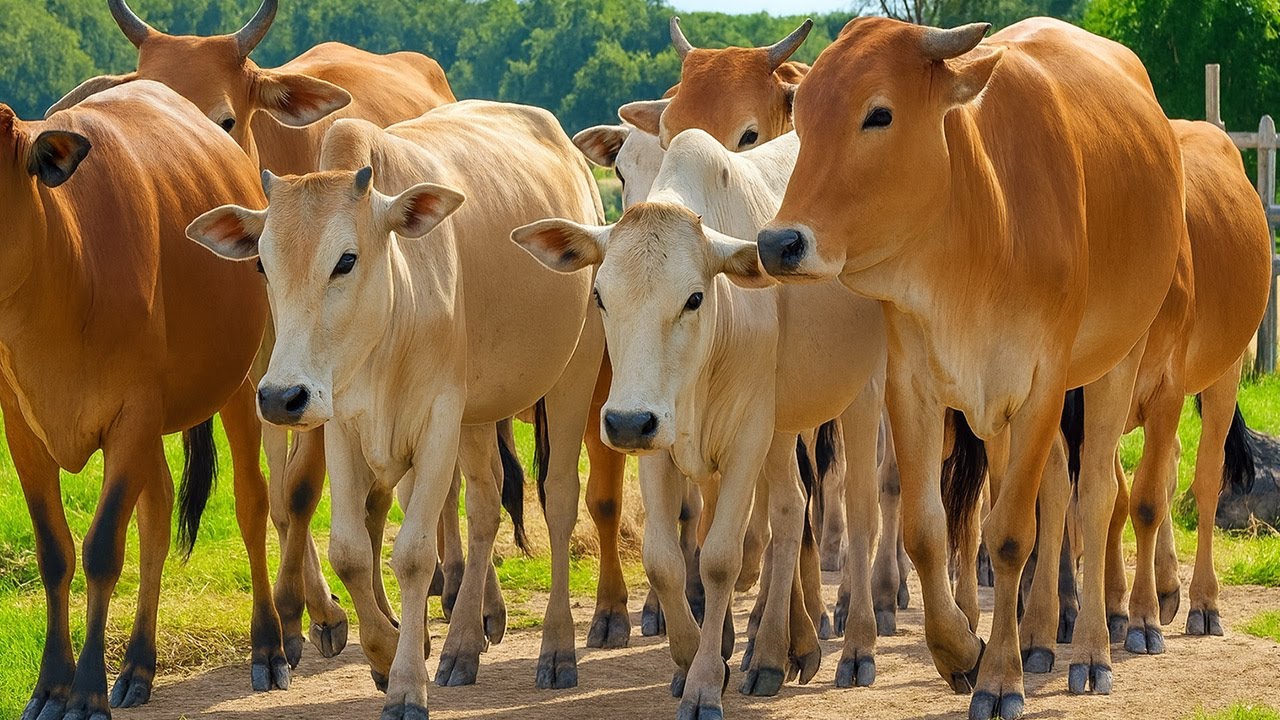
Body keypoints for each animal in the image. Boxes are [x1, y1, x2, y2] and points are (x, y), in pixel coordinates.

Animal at [4, 81, 268, 720]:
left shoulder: (132, 415)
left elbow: (102, 550)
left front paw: (85, 691)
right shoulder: (20, 425)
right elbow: (55, 553)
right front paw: (51, 686)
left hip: (243, 382)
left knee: (252, 502)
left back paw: (271, 648)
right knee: (158, 513)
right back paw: (138, 668)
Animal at [50, 0, 460, 666]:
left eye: (224, 118)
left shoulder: (320, 384)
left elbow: (300, 488)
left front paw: (302, 610)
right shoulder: (260, 383)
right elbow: (275, 494)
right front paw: (309, 617)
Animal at [187, 99, 604, 719]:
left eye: (346, 260)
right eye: (262, 264)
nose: (279, 397)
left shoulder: (436, 422)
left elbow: (412, 555)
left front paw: (407, 682)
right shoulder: (343, 427)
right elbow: (351, 551)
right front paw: (385, 655)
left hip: (573, 373)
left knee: (557, 500)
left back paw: (556, 649)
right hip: (478, 413)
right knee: (484, 507)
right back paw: (462, 645)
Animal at [515, 127, 889, 718]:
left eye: (694, 297)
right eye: (599, 295)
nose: (625, 421)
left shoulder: (745, 439)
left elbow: (718, 559)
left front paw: (706, 682)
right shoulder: (658, 441)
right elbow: (665, 560)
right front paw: (689, 660)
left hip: (862, 392)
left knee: (857, 512)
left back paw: (854, 648)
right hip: (782, 427)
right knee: (790, 510)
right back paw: (777, 652)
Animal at [757, 17, 1187, 719]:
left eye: (879, 113)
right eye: (804, 114)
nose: (778, 243)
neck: (983, 224)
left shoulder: (1042, 385)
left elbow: (1009, 534)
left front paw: (999, 680)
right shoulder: (914, 386)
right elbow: (926, 532)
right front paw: (963, 651)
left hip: (1114, 363)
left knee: (1095, 499)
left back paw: (1091, 651)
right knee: (1053, 493)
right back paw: (1037, 636)